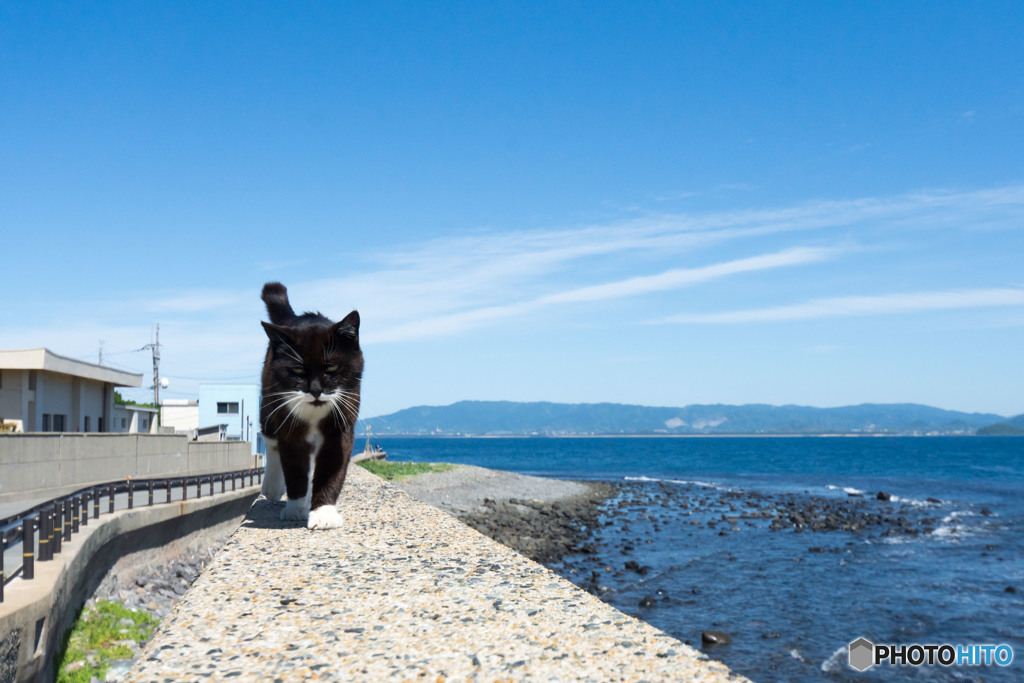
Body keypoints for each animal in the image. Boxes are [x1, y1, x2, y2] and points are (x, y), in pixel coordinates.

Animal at [260, 282, 364, 528]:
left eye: (331, 368)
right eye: (298, 370)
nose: (316, 390)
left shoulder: (341, 426)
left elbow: (331, 468)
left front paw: (323, 513)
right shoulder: (290, 428)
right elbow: (294, 466)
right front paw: (295, 508)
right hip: (268, 398)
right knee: (270, 437)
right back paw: (273, 486)